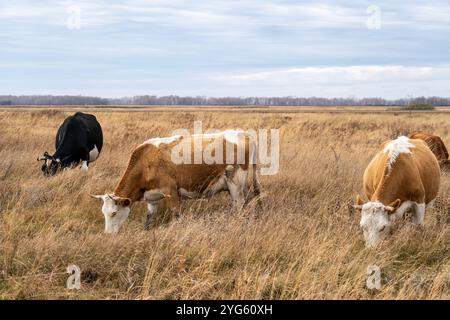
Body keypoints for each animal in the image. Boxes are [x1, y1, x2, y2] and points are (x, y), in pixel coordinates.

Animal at [92, 131, 260, 234]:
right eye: (103, 213)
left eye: (114, 213)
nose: (108, 234)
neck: (146, 163)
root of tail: (244, 134)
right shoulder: (152, 198)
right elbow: (149, 219)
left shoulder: (170, 191)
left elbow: (177, 214)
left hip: (235, 182)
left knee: (239, 205)